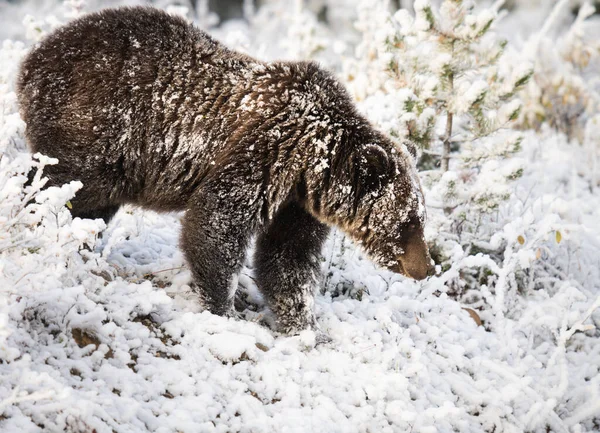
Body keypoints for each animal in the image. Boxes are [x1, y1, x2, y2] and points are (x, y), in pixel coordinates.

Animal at [17, 5, 432, 334]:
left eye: (421, 219)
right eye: (408, 221)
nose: (426, 267)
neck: (313, 161)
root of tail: (31, 60)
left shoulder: (296, 204)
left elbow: (287, 259)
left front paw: (300, 321)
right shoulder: (266, 152)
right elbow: (216, 225)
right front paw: (222, 306)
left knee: (89, 207)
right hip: (92, 126)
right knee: (60, 190)